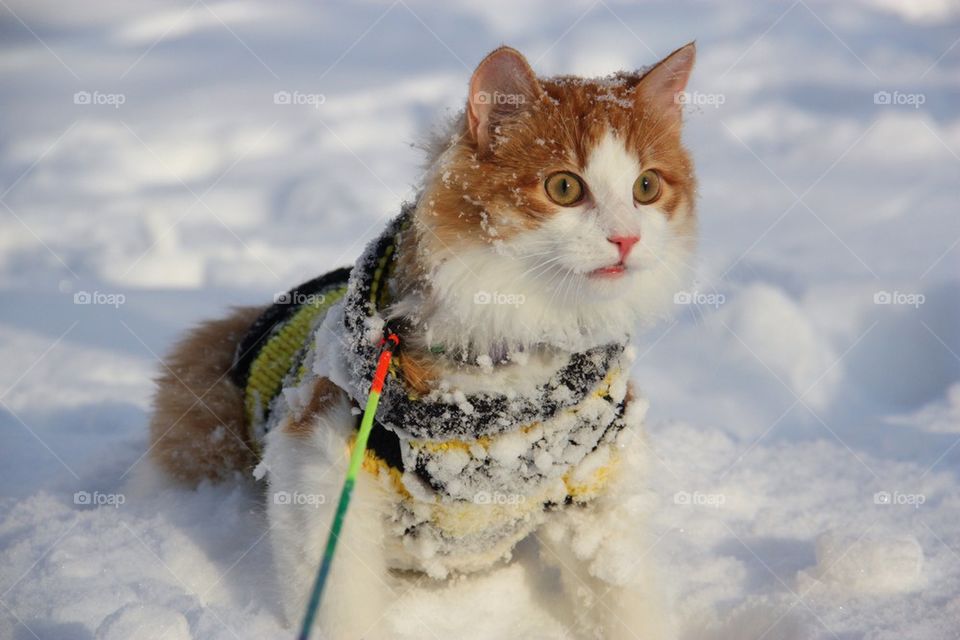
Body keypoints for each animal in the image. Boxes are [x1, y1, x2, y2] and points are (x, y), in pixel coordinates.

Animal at [148, 43, 696, 640]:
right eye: (564, 187)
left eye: (647, 187)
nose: (628, 238)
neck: (516, 353)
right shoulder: (320, 464)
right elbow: (338, 605)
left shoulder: (597, 486)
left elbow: (622, 597)